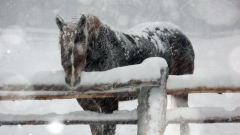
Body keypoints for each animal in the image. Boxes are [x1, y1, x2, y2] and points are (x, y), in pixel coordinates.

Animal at [55, 12, 194, 135]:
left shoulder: (109, 107)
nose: (72, 80)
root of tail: (183, 36)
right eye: (61, 43)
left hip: (181, 94)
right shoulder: (89, 107)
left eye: (83, 43)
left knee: (184, 123)